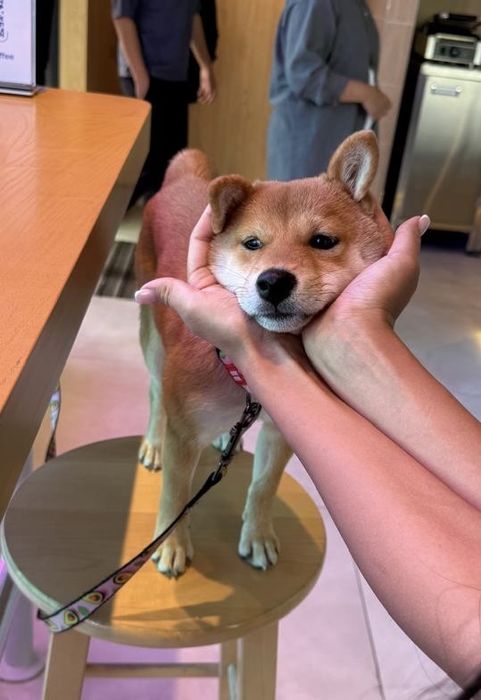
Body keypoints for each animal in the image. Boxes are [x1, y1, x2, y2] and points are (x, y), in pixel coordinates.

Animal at [134, 130, 393, 577]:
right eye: (252, 243)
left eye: (322, 241)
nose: (273, 281)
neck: (246, 380)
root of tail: (182, 179)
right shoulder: (183, 434)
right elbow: (175, 495)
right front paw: (172, 544)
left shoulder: (281, 432)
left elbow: (263, 486)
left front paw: (256, 535)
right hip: (152, 340)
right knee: (153, 392)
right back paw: (153, 440)